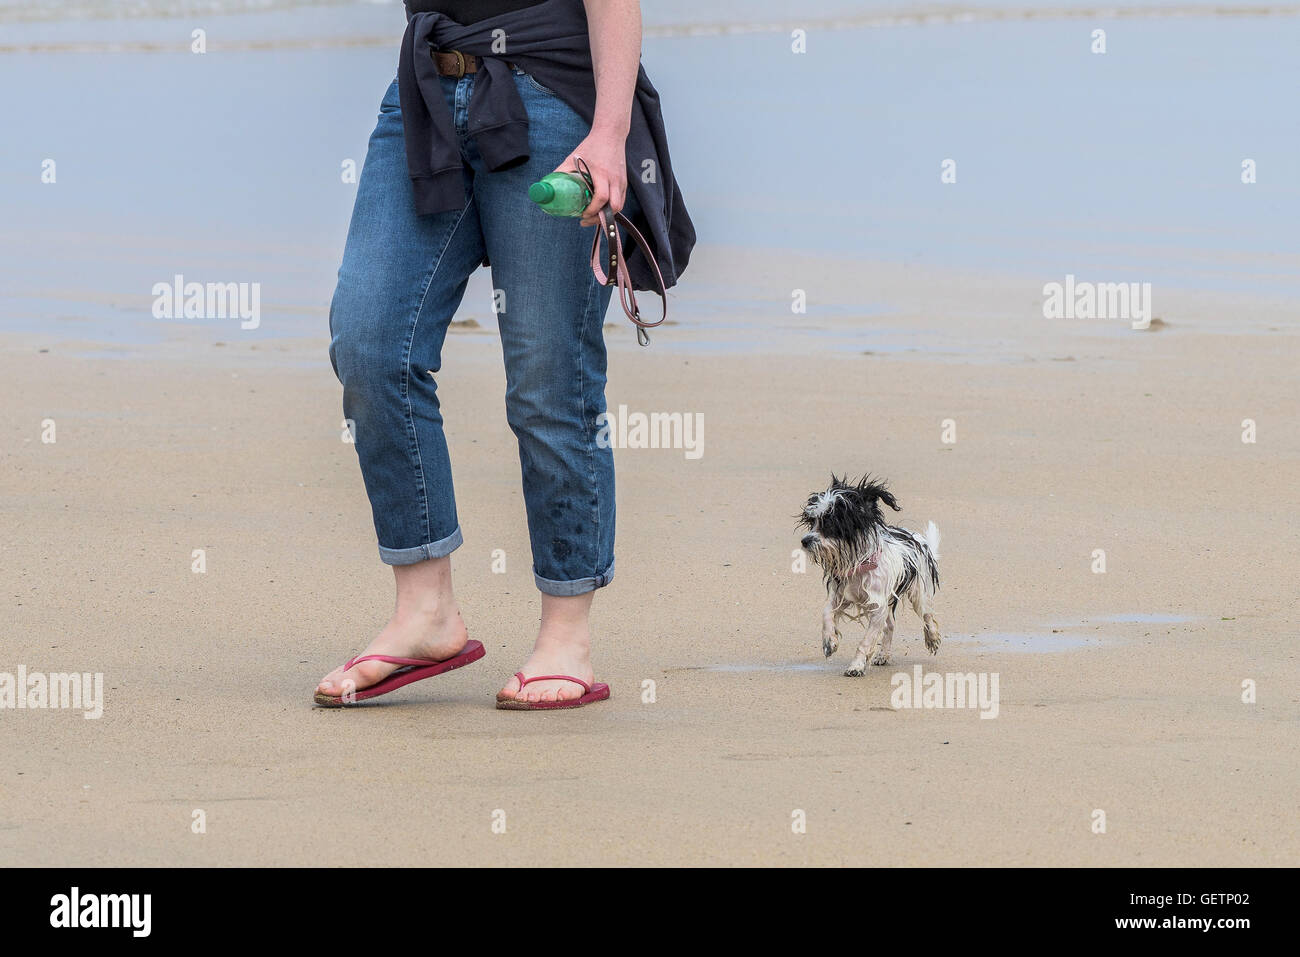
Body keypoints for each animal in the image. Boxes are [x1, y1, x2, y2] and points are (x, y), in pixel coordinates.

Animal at [795, 475, 941, 670]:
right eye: (812, 522)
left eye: (830, 523)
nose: (805, 541)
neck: (860, 565)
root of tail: (917, 538)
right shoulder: (843, 596)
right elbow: (826, 613)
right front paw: (829, 641)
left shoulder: (878, 608)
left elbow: (866, 641)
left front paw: (856, 666)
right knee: (890, 626)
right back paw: (883, 655)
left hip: (919, 594)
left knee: (927, 615)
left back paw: (932, 638)